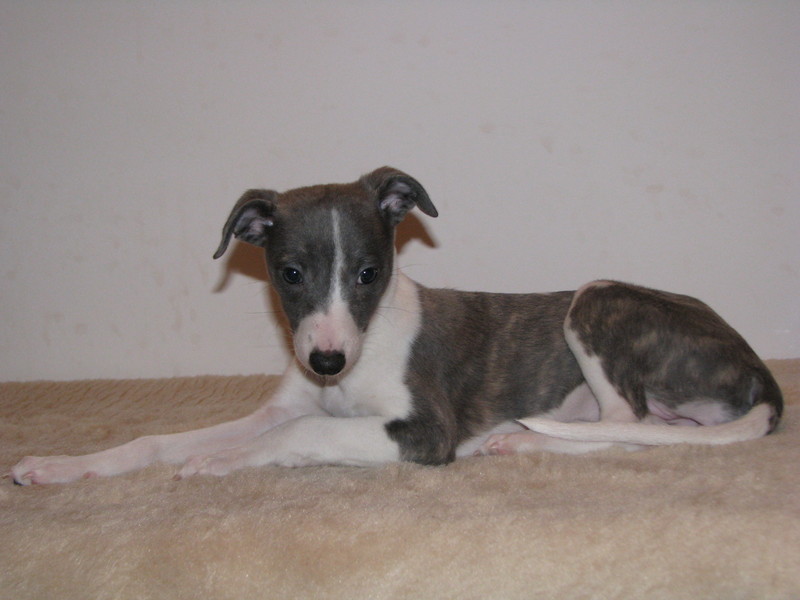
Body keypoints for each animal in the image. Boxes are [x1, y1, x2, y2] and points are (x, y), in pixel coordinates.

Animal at [11, 166, 783, 484]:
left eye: (368, 271)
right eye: (290, 273)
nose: (326, 361)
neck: (365, 346)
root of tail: (759, 373)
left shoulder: (425, 427)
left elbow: (305, 431)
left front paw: (223, 462)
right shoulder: (286, 402)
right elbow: (160, 440)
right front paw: (60, 466)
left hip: (596, 300)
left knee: (632, 427)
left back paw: (519, 442)